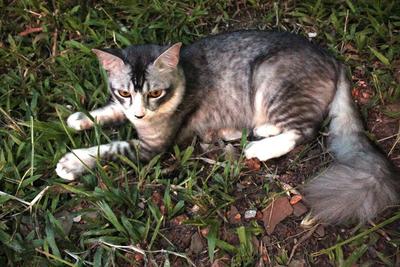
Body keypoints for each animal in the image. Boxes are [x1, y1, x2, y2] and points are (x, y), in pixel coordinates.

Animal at [54, 30, 398, 225]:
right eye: (125, 92)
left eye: (155, 93)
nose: (138, 115)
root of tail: (334, 60)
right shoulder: (125, 111)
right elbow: (109, 111)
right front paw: (79, 117)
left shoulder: (153, 146)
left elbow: (111, 147)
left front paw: (72, 161)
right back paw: (254, 130)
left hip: (270, 78)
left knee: (306, 131)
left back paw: (259, 146)